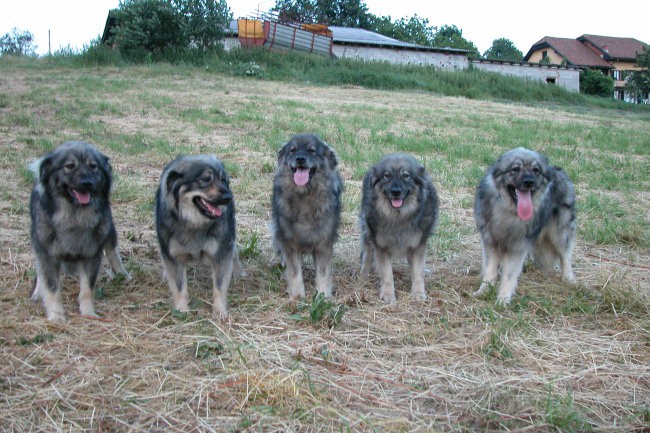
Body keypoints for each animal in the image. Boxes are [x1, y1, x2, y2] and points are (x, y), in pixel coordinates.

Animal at [356, 154, 438, 302]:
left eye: (406, 176)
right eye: (386, 175)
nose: (396, 192)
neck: (398, 216)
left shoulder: (418, 245)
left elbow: (418, 271)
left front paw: (418, 292)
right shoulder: (381, 247)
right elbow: (387, 273)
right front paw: (388, 294)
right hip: (367, 234)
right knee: (367, 256)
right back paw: (363, 278)